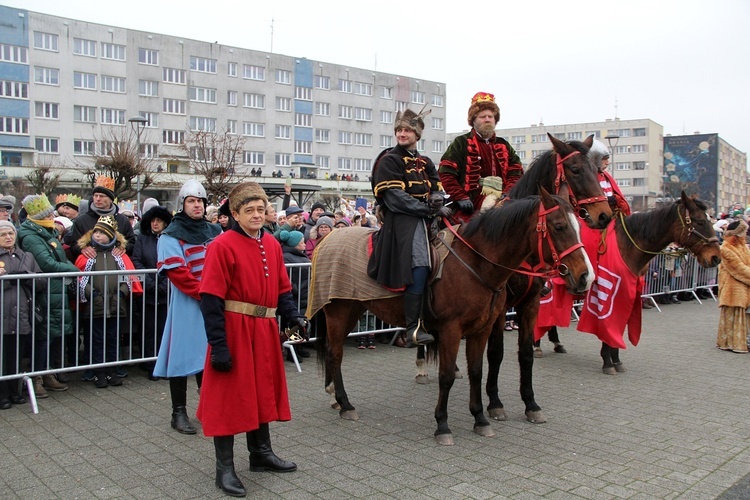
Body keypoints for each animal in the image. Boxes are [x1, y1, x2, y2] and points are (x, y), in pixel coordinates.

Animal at [308, 188, 596, 446]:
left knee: (332, 352)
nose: (585, 276)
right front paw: (442, 425)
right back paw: (345, 403)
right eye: (559, 226)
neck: (476, 262)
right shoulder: (451, 330)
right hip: (339, 312)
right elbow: (446, 376)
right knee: (335, 354)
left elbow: (477, 371)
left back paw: (335, 398)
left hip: (353, 310)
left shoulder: (481, 329)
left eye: (578, 227)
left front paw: (480, 418)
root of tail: (327, 240)